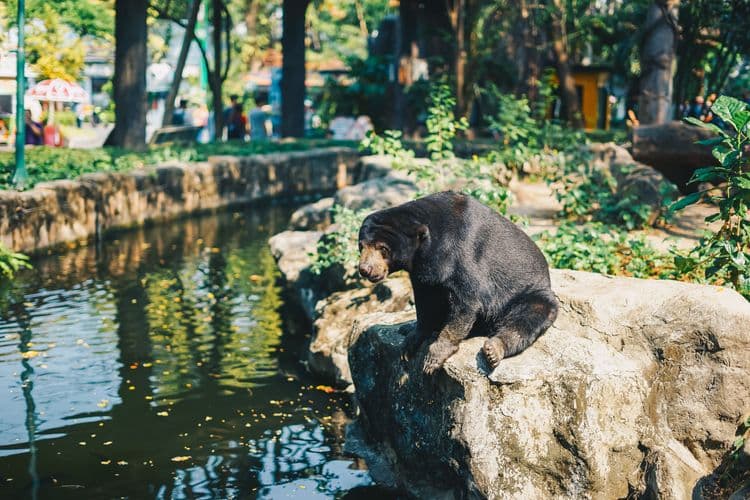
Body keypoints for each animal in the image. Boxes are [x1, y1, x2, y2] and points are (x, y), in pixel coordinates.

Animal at [358, 191, 558, 374]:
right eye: (361, 246)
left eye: (383, 249)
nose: (365, 269)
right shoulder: (424, 272)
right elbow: (425, 301)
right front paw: (410, 344)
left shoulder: (460, 253)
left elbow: (467, 299)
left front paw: (432, 358)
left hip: (529, 294)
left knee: (528, 318)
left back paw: (493, 350)